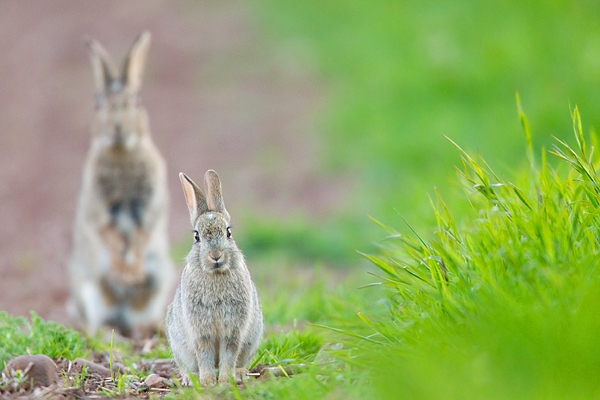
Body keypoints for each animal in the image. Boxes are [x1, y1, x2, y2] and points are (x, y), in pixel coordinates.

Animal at [69, 32, 176, 338]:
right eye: (97, 103)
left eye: (137, 101)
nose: (117, 127)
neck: (121, 151)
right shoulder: (100, 207)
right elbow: (110, 235)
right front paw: (123, 271)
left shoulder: (149, 206)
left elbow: (140, 236)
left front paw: (131, 272)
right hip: (89, 285)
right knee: (100, 315)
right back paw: (107, 331)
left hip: (158, 278)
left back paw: (145, 328)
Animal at [168, 170, 264, 386]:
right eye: (197, 236)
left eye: (228, 232)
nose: (216, 255)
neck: (215, 275)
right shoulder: (201, 330)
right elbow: (204, 353)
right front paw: (207, 381)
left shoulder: (234, 329)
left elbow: (229, 353)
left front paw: (226, 379)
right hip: (179, 345)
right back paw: (191, 378)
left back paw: (240, 373)